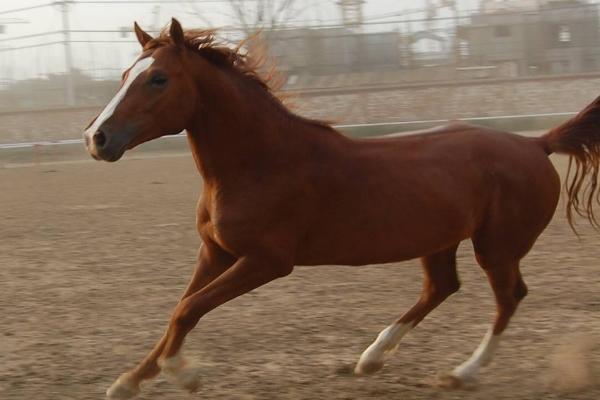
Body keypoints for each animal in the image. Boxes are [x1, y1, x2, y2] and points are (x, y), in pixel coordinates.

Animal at [84, 18, 600, 400]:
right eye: (125, 76)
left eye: (158, 78)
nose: (96, 138)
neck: (261, 162)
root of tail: (535, 143)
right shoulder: (215, 252)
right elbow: (179, 308)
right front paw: (128, 382)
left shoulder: (267, 261)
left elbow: (189, 309)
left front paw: (184, 374)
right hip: (440, 240)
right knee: (442, 287)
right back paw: (371, 359)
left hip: (496, 246)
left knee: (509, 296)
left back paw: (461, 373)